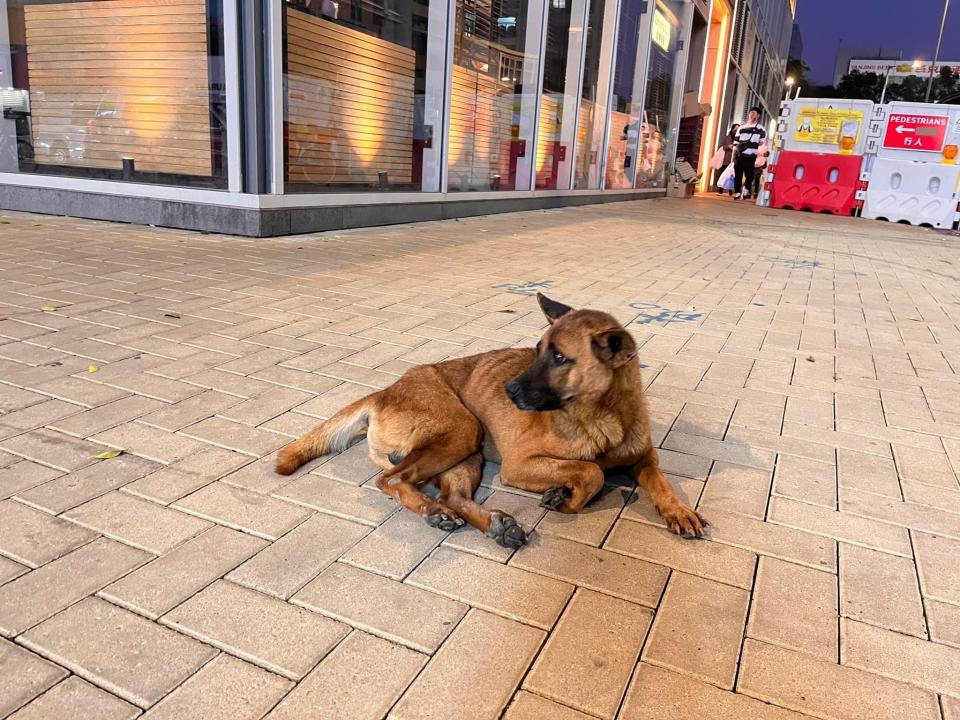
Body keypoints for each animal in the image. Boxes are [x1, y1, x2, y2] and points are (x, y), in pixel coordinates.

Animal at [274, 292, 708, 544]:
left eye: (559, 357)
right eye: (538, 350)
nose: (510, 391)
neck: (603, 416)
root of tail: (384, 392)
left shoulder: (644, 458)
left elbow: (661, 481)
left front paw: (678, 510)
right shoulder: (519, 464)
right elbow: (592, 472)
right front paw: (566, 497)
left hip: (468, 452)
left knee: (451, 495)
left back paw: (490, 524)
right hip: (464, 429)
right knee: (392, 481)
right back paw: (435, 513)